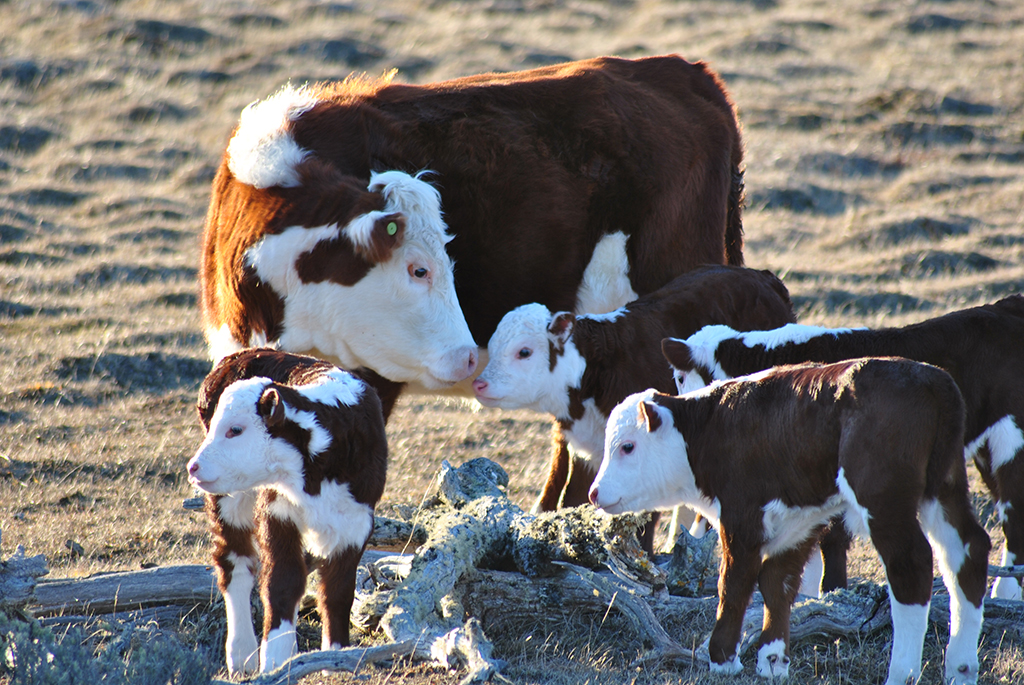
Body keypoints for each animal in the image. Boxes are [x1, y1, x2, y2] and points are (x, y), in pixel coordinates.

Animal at [188, 350, 387, 675]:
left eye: (235, 430)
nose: (193, 467)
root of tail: (239, 355)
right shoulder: (277, 512)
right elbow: (282, 581)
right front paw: (275, 659)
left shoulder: (356, 523)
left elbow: (337, 591)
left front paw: (335, 659)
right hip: (227, 498)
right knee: (235, 562)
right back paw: (242, 655)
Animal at [468, 264, 794, 548]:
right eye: (492, 347)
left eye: (524, 352)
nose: (479, 384)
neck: (594, 373)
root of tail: (763, 277)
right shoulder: (587, 451)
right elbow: (573, 501)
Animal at [593, 360, 991, 679]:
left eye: (627, 446)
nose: (595, 493)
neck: (708, 430)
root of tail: (932, 379)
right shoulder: (801, 520)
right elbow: (777, 583)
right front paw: (772, 660)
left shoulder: (741, 517)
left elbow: (734, 583)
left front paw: (722, 658)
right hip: (944, 487)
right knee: (967, 551)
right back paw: (960, 667)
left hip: (884, 500)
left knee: (911, 564)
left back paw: (902, 673)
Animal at [659, 294, 1024, 597]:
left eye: (679, 377)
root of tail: (1007, 304)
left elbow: (829, 540)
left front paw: (828, 591)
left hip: (1011, 440)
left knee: (1013, 512)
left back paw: (1005, 594)